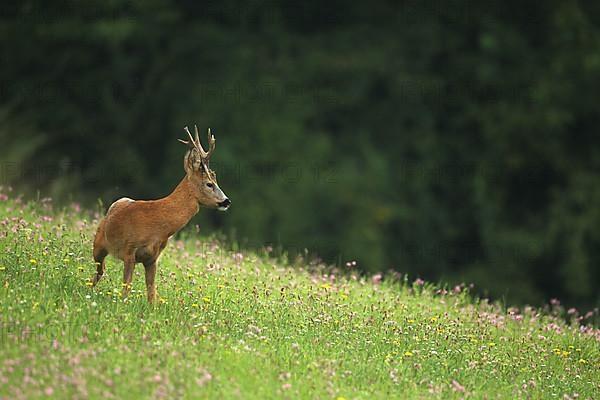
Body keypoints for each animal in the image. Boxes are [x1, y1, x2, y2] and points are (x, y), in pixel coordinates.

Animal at [92, 126, 231, 302]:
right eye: (209, 184)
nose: (226, 201)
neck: (158, 225)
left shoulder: (153, 258)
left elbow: (152, 294)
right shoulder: (130, 251)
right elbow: (126, 288)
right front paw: (122, 305)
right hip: (98, 244)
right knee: (100, 269)